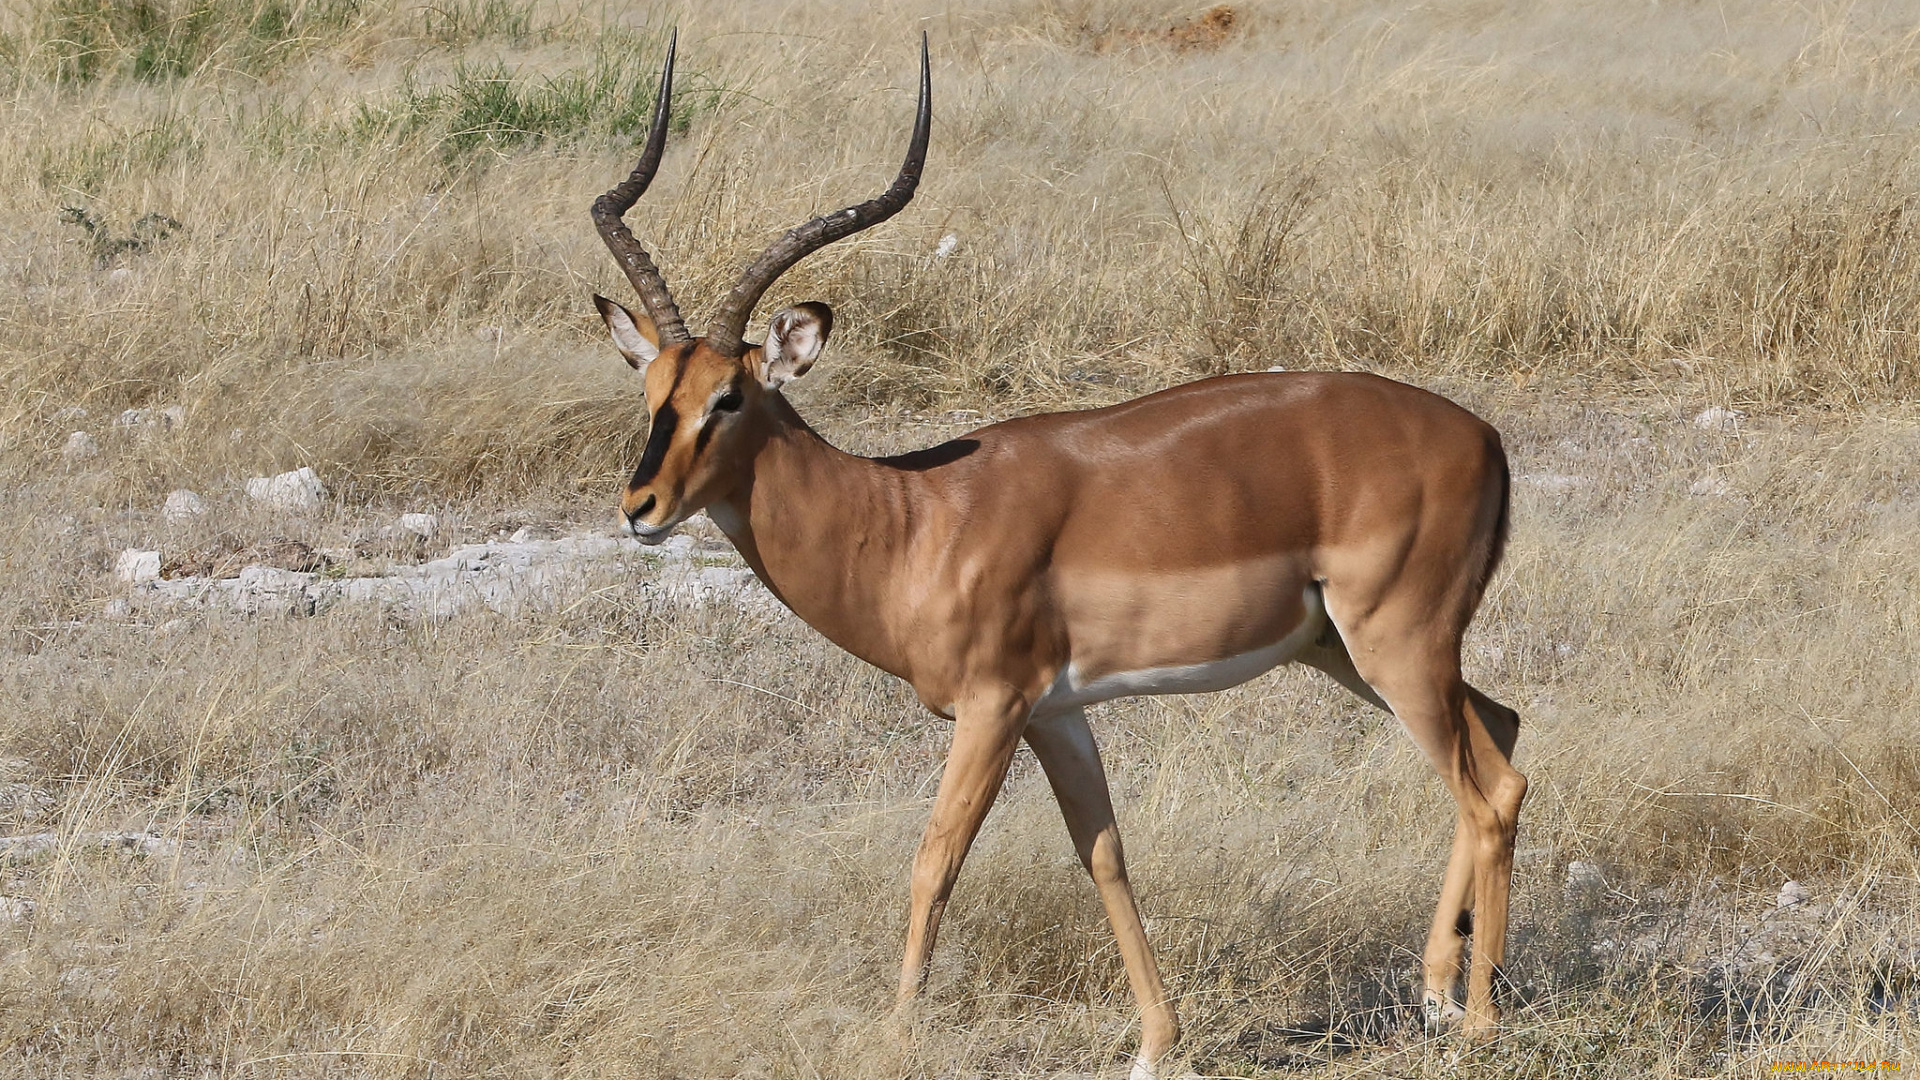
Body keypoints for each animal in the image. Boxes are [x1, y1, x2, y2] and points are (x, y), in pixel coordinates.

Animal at [583, 31, 1528, 1068]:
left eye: (729, 398)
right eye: (652, 393)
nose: (640, 507)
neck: (915, 520)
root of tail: (1484, 437)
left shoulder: (992, 706)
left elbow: (935, 860)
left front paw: (896, 1038)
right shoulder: (1057, 714)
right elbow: (1103, 853)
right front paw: (1156, 1045)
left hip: (1395, 644)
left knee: (1486, 794)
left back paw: (1479, 1020)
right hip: (1348, 651)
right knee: (1505, 736)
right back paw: (1438, 992)